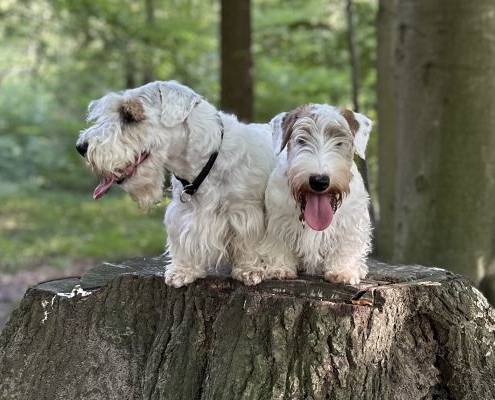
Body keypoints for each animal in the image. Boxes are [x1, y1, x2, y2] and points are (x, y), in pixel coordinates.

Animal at [78, 82, 280, 288]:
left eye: (129, 116)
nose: (81, 147)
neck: (208, 160)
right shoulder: (182, 215)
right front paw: (183, 271)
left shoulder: (246, 210)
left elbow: (249, 243)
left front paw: (249, 269)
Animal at [264, 103, 372, 284]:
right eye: (301, 140)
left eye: (339, 142)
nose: (319, 181)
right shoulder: (278, 220)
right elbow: (279, 243)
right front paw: (279, 268)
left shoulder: (351, 222)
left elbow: (346, 246)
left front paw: (342, 271)